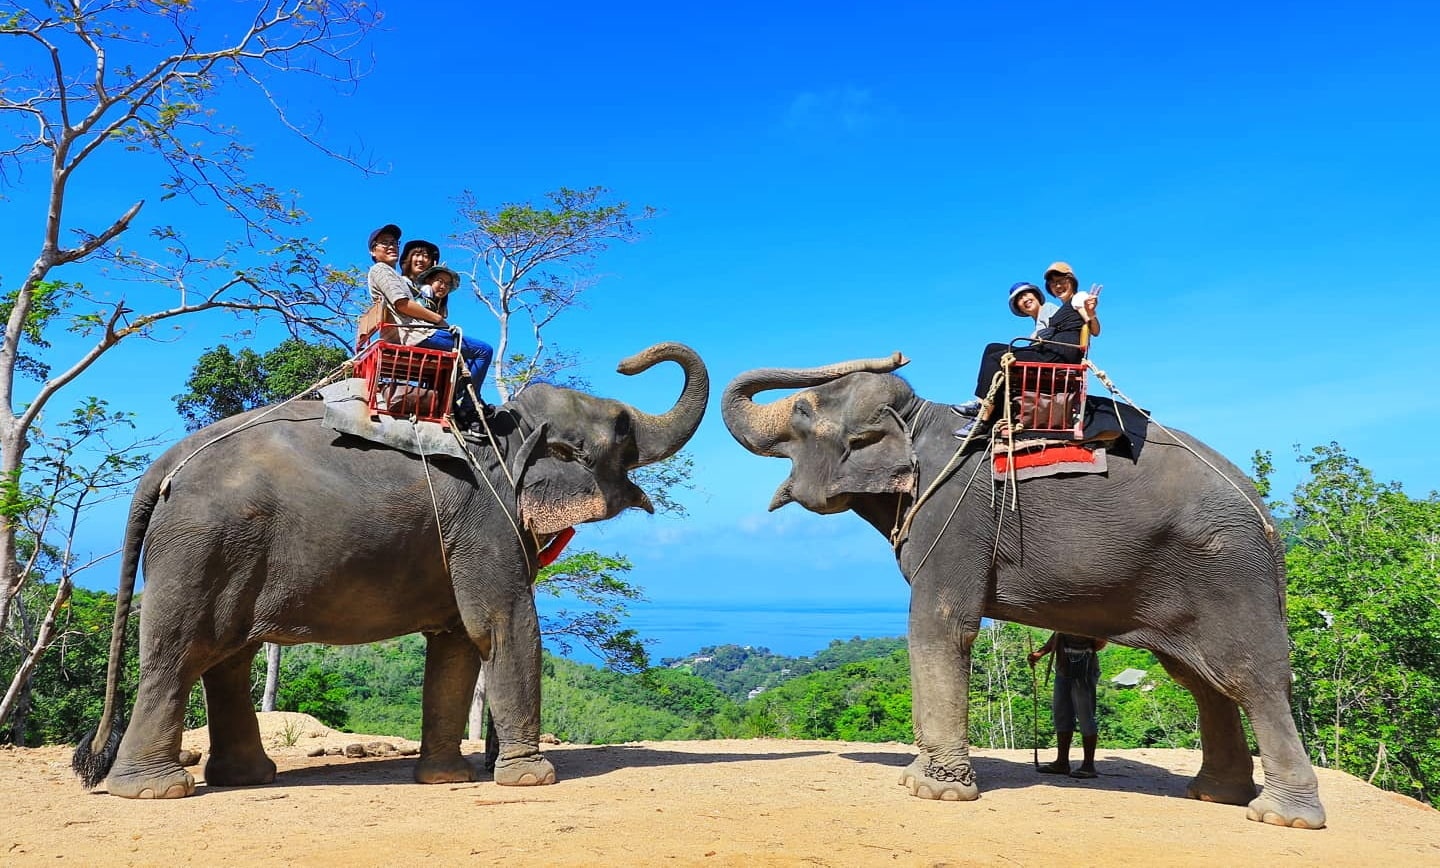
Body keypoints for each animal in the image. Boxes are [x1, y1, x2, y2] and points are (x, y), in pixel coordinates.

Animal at [73, 342, 707, 799]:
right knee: (181, 651)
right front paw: (531, 778)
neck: (504, 428)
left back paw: (248, 778)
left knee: (228, 658)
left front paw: (447, 781)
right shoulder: (487, 521)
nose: (627, 361)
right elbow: (502, 626)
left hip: (223, 549)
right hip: (202, 545)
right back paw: (156, 791)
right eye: (621, 429)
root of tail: (164, 465)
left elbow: (457, 641)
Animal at [721, 352, 1326, 829]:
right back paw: (1213, 795)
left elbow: (939, 626)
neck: (918, 422)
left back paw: (1282, 816)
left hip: (1227, 572)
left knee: (1251, 678)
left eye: (802, 414)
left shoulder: (957, 523)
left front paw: (933, 791)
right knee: (1200, 680)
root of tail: (1267, 519)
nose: (897, 354)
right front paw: (918, 778)